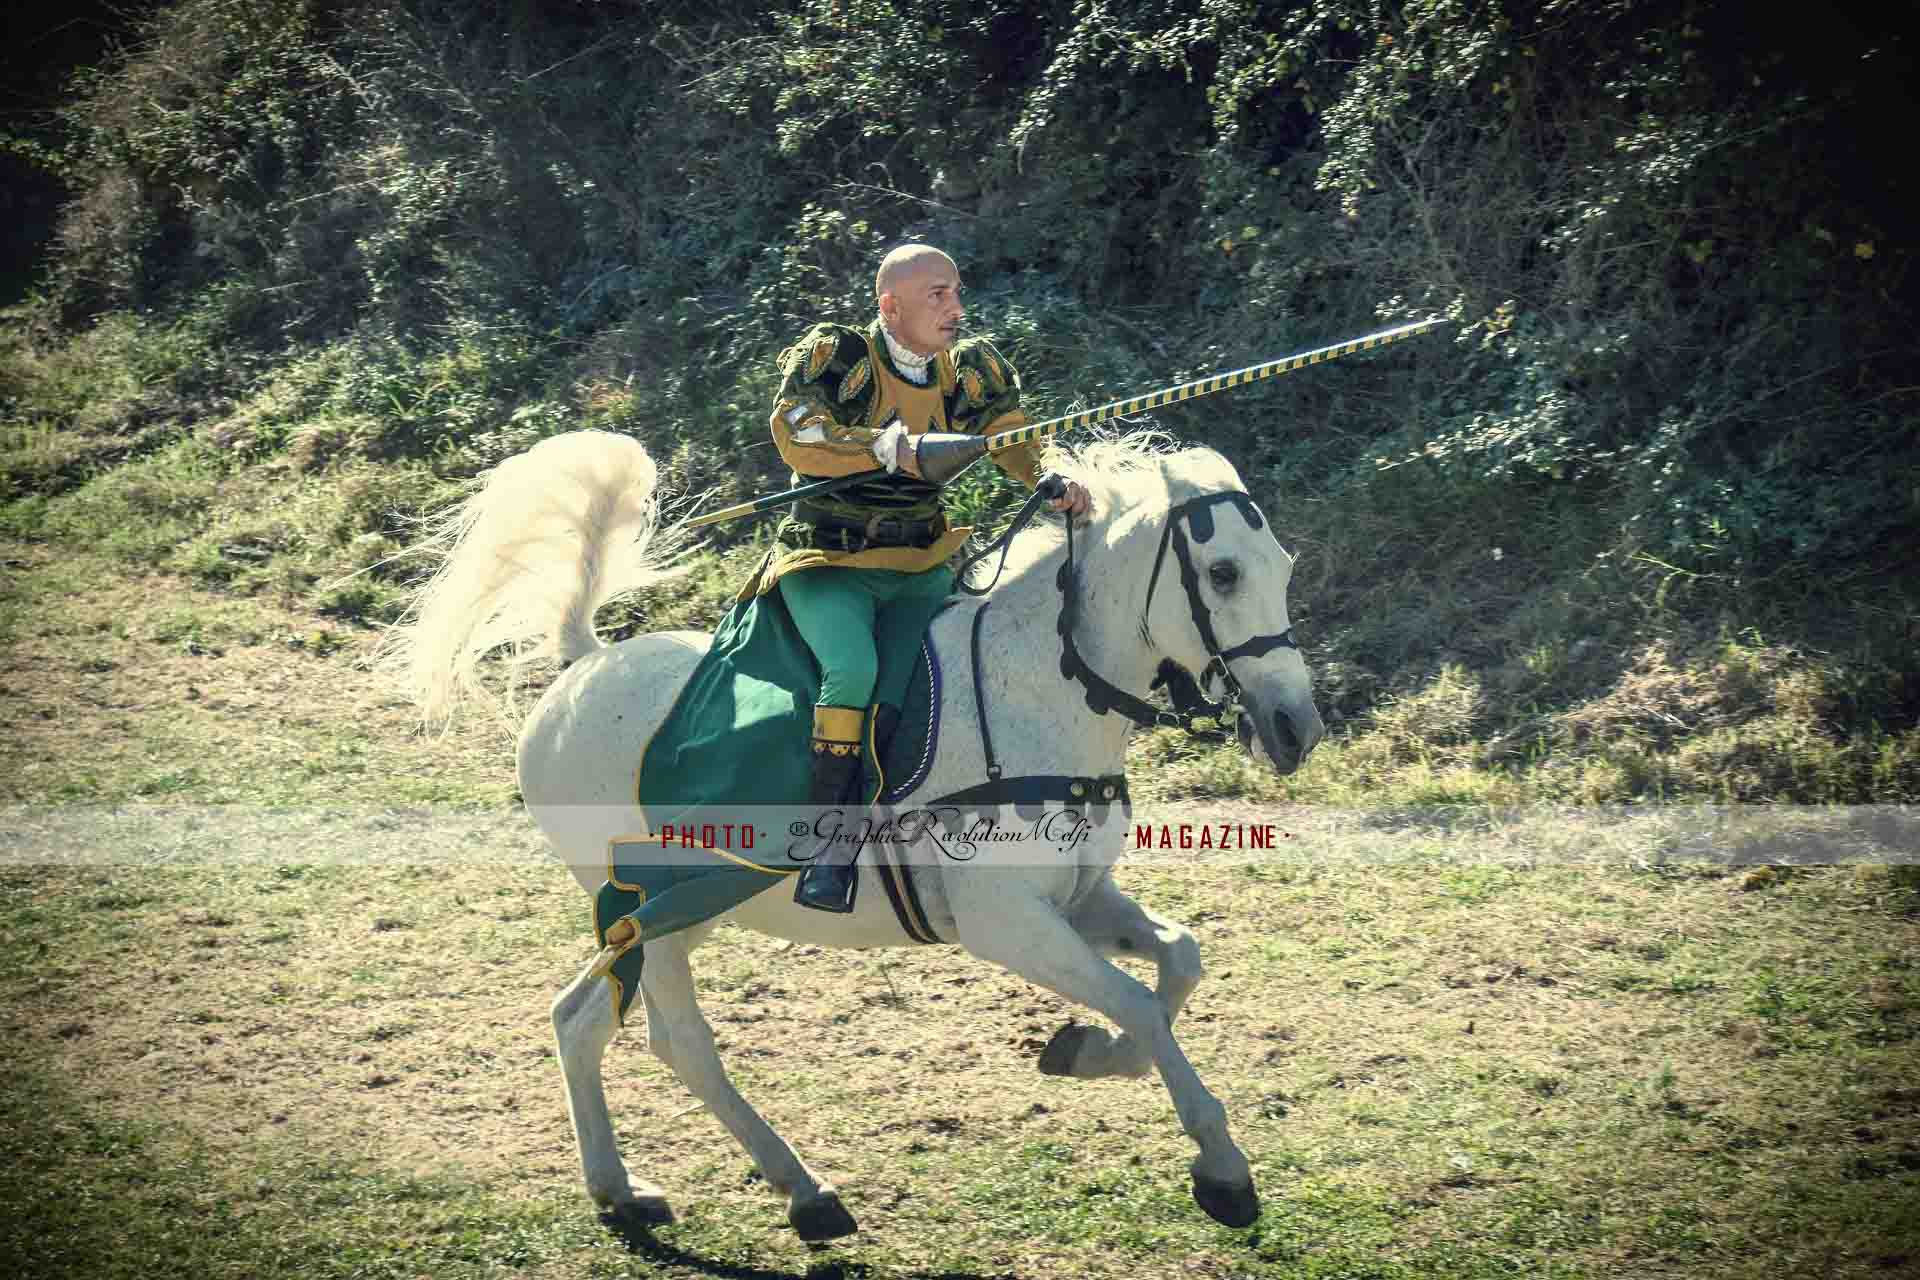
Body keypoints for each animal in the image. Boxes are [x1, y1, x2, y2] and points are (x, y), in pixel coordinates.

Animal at [382, 427, 1328, 1243]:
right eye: (1224, 572)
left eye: (1284, 567)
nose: (1296, 728)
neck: (1034, 688)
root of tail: (581, 667)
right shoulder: (1008, 925)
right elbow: (1138, 1000)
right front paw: (1222, 1167)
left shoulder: (1081, 899)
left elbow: (1178, 964)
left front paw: (1087, 1054)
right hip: (659, 917)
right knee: (675, 1043)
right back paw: (804, 1191)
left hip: (668, 916)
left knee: (579, 1021)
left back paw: (624, 1188)